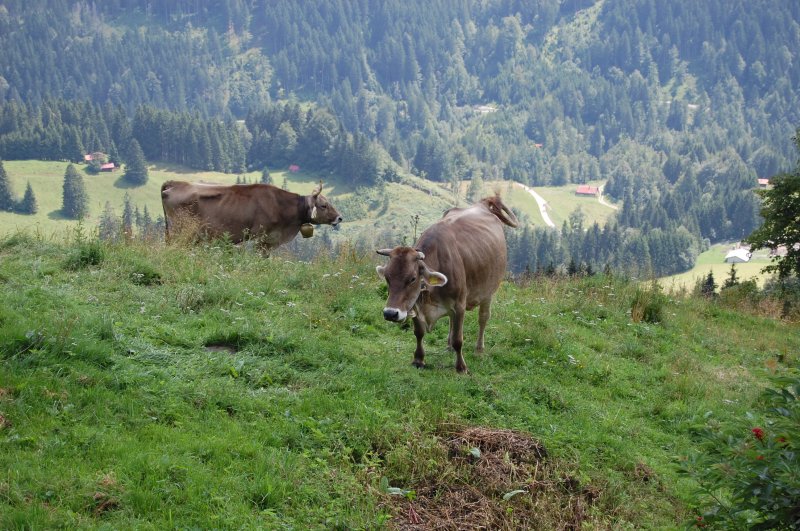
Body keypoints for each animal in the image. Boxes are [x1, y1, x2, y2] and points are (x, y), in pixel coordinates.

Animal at [376, 195, 520, 374]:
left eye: (413, 278)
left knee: (483, 318)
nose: (390, 313)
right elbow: (419, 333)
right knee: (452, 320)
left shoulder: (459, 304)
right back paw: (449, 345)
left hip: (489, 290)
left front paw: (461, 367)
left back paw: (479, 349)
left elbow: (459, 339)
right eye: (387, 278)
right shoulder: (414, 303)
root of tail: (483, 203)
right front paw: (418, 360)